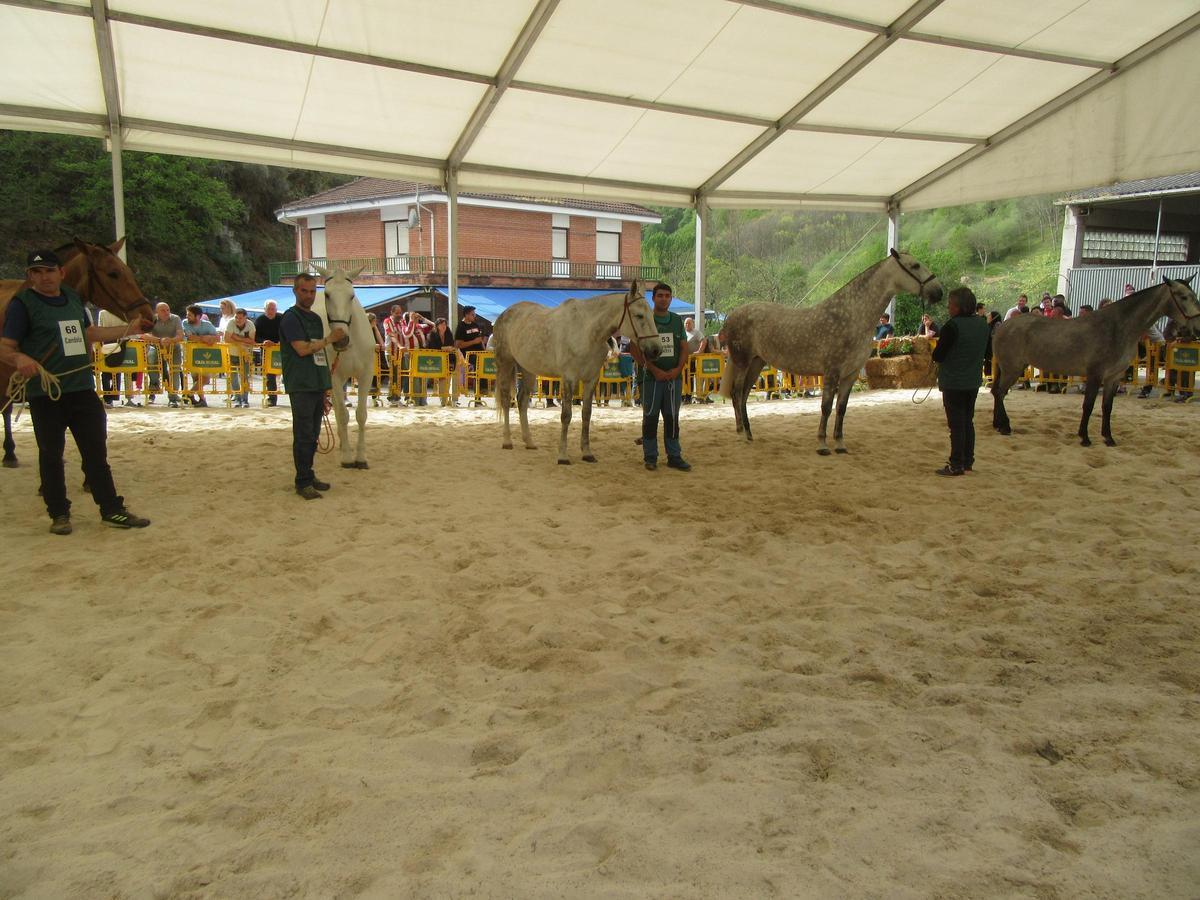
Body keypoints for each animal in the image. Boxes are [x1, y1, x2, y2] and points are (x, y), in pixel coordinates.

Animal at [312, 264, 372, 468]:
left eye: (352, 295)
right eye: (327, 294)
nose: (341, 339)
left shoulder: (366, 376)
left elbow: (361, 415)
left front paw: (361, 457)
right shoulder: (335, 378)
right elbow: (343, 415)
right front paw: (347, 456)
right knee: (336, 410)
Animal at [496, 282, 667, 465]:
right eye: (639, 315)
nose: (656, 350)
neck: (587, 332)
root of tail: (505, 313)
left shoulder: (591, 380)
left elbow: (586, 414)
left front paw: (587, 453)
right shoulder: (569, 379)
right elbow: (566, 415)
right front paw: (563, 456)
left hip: (528, 370)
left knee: (521, 401)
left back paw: (529, 442)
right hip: (505, 363)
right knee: (506, 400)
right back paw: (507, 441)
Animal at [715, 247, 940, 453]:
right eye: (915, 265)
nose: (938, 291)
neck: (851, 316)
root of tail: (731, 316)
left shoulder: (851, 374)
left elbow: (841, 408)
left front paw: (840, 444)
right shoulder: (832, 371)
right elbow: (826, 407)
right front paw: (822, 444)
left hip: (757, 362)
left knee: (744, 395)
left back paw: (749, 434)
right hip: (743, 362)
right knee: (736, 393)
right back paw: (741, 434)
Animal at [993, 273, 1200, 446]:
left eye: (1194, 295)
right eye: (1183, 297)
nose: (1196, 328)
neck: (1117, 327)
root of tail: (1003, 326)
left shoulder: (1113, 377)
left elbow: (1107, 407)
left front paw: (1108, 438)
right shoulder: (1095, 374)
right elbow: (1089, 405)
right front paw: (1084, 437)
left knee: (996, 392)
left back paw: (997, 424)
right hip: (1013, 368)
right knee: (1001, 392)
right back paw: (1005, 426)